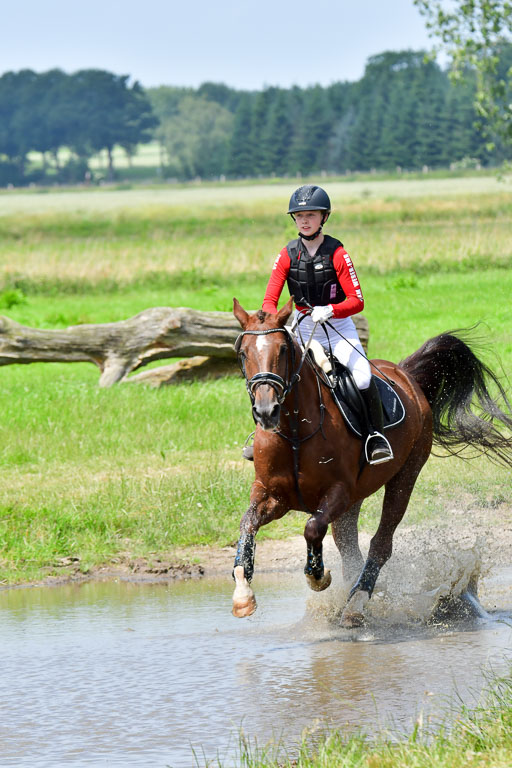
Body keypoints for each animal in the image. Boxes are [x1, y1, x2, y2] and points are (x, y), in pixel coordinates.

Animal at [231, 297, 512, 627]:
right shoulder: (271, 494)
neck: (295, 430)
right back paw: (347, 600)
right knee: (350, 548)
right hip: (355, 501)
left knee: (380, 543)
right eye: (243, 353)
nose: (266, 411)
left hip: (405, 476)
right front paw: (242, 594)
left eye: (283, 350)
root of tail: (405, 374)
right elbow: (247, 525)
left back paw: (356, 603)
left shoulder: (338, 492)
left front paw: (317, 576)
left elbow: (312, 528)